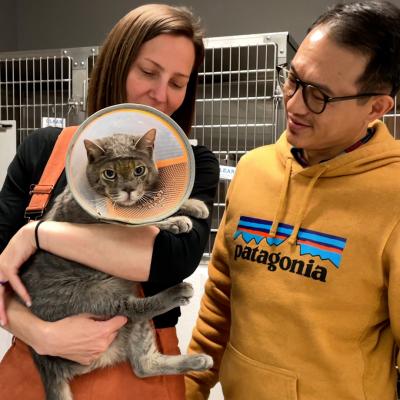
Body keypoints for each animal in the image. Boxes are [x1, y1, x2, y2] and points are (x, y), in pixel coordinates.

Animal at [19, 127, 212, 400]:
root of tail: (44, 359)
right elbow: (148, 221)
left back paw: (198, 361)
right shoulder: (110, 223)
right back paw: (178, 292)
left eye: (138, 170)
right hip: (97, 294)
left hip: (135, 326)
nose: (128, 189)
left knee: (143, 365)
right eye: (110, 174)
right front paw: (176, 221)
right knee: (133, 309)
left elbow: (153, 203)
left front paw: (193, 204)